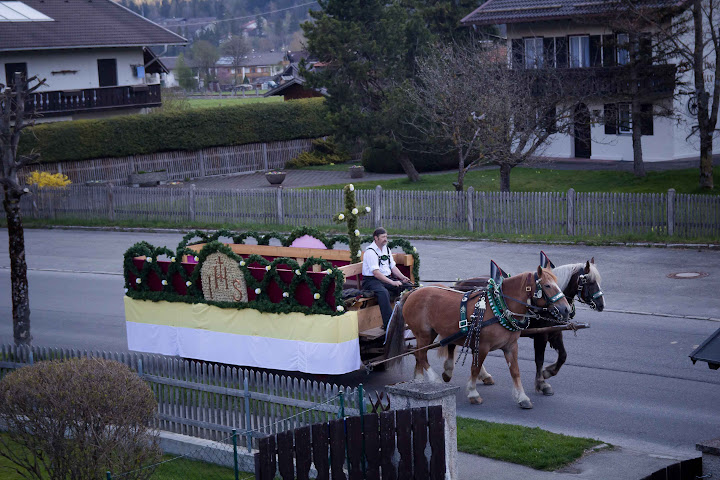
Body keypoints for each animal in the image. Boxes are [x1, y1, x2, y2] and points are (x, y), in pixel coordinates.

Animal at [386, 266, 572, 408]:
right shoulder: (482, 346)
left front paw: (522, 397)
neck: (499, 308)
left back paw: (419, 382)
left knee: (419, 354)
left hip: (429, 334)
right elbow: (475, 368)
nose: (566, 309)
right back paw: (434, 380)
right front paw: (473, 393)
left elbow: (515, 371)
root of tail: (412, 292)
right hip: (423, 334)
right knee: (421, 355)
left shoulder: (511, 346)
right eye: (547, 286)